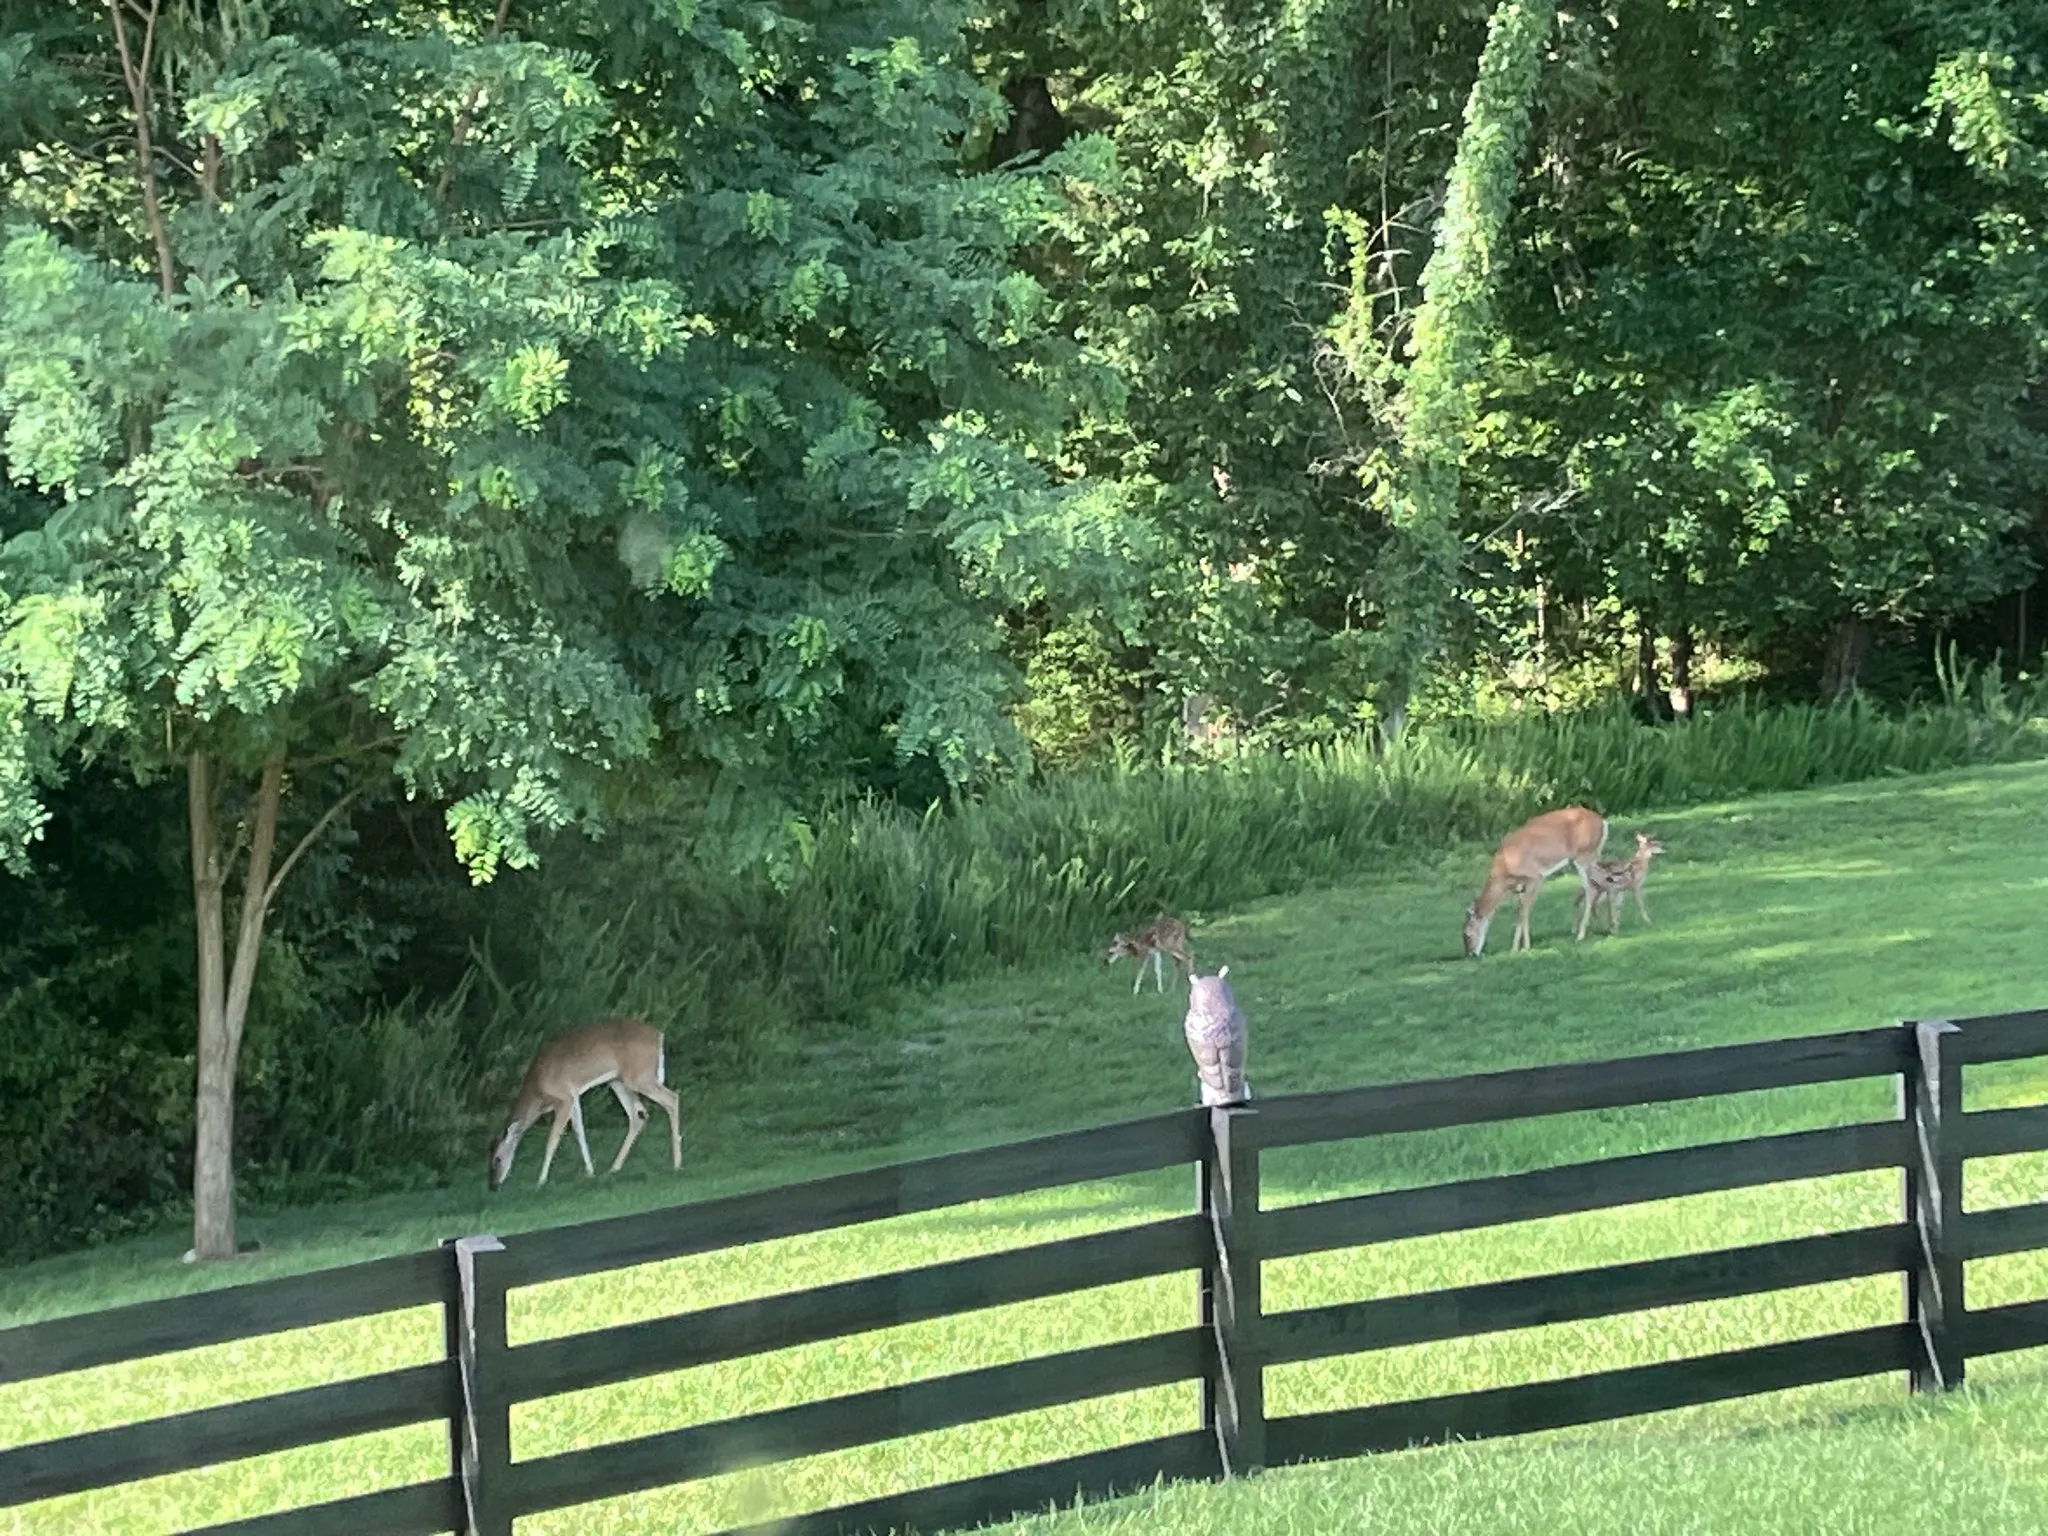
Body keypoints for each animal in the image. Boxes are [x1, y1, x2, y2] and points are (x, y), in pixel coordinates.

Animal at [488, 1017, 682, 1190]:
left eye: (497, 1159)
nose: (493, 1185)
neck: (538, 1092)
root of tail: (658, 1035)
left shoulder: (564, 1097)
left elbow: (553, 1139)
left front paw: (540, 1182)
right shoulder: (574, 1097)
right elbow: (579, 1132)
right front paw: (590, 1172)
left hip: (639, 1076)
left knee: (671, 1098)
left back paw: (677, 1164)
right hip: (618, 1081)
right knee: (638, 1115)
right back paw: (614, 1168)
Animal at [1461, 806, 1610, 957]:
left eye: (1467, 934)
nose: (1471, 954)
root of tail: (1602, 821)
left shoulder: (1536, 877)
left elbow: (1524, 912)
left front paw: (1525, 947)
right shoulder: (1520, 887)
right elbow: (1519, 913)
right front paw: (1516, 948)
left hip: (1584, 855)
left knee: (1591, 889)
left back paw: (1582, 935)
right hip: (1588, 858)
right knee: (1600, 884)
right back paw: (1601, 927)